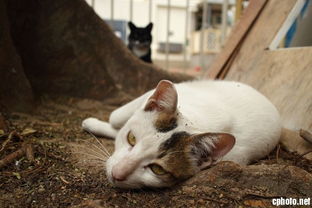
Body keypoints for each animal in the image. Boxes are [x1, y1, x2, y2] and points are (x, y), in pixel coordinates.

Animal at [81, 79, 282, 188]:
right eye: (131, 138)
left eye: (157, 169)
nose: (117, 173)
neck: (196, 119)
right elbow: (116, 116)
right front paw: (96, 124)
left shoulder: (235, 157)